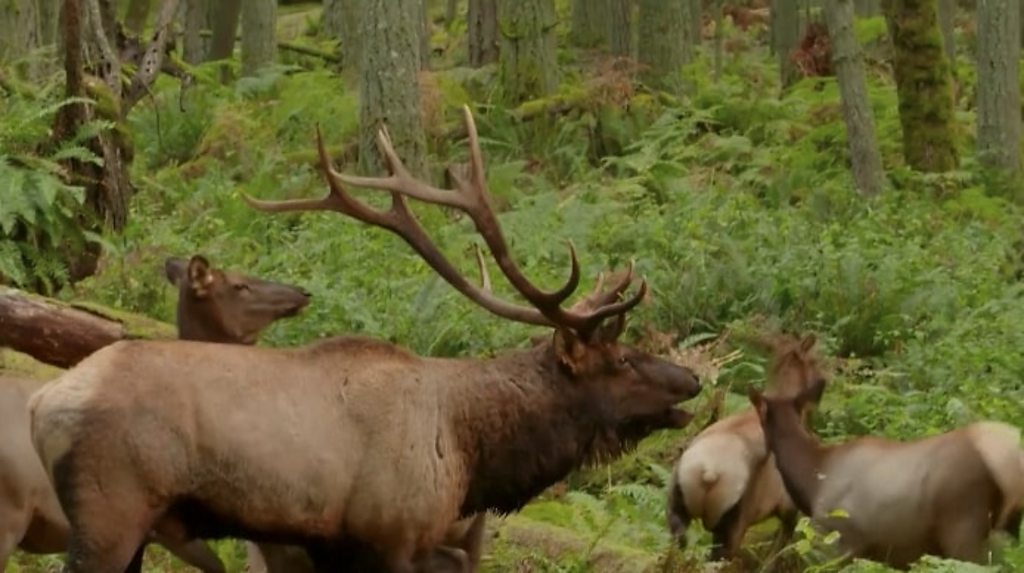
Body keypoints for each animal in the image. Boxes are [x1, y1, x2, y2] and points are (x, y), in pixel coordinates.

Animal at [667, 331, 827, 560]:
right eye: (815, 361)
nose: (824, 380)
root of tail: (708, 472)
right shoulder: (789, 508)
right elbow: (775, 555)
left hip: (677, 512)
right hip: (731, 528)